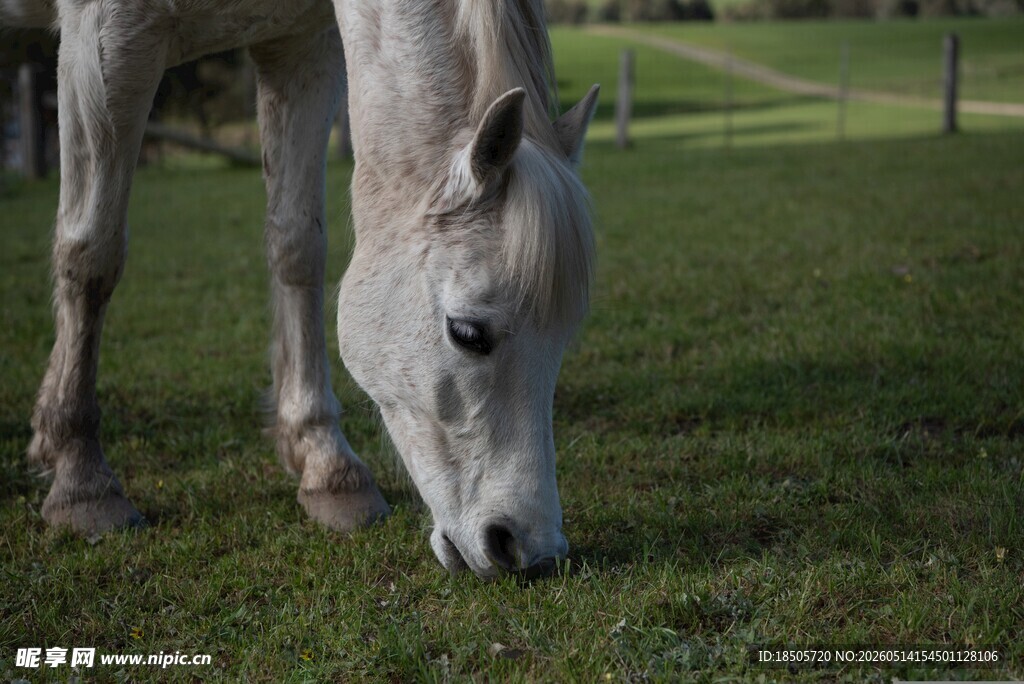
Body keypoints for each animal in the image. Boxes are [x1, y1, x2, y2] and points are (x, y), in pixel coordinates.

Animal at [4, 0, 598, 580]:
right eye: (468, 333)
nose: (532, 551)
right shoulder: (104, 39)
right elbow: (92, 254)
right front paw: (81, 478)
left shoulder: (300, 48)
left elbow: (297, 247)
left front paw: (325, 462)